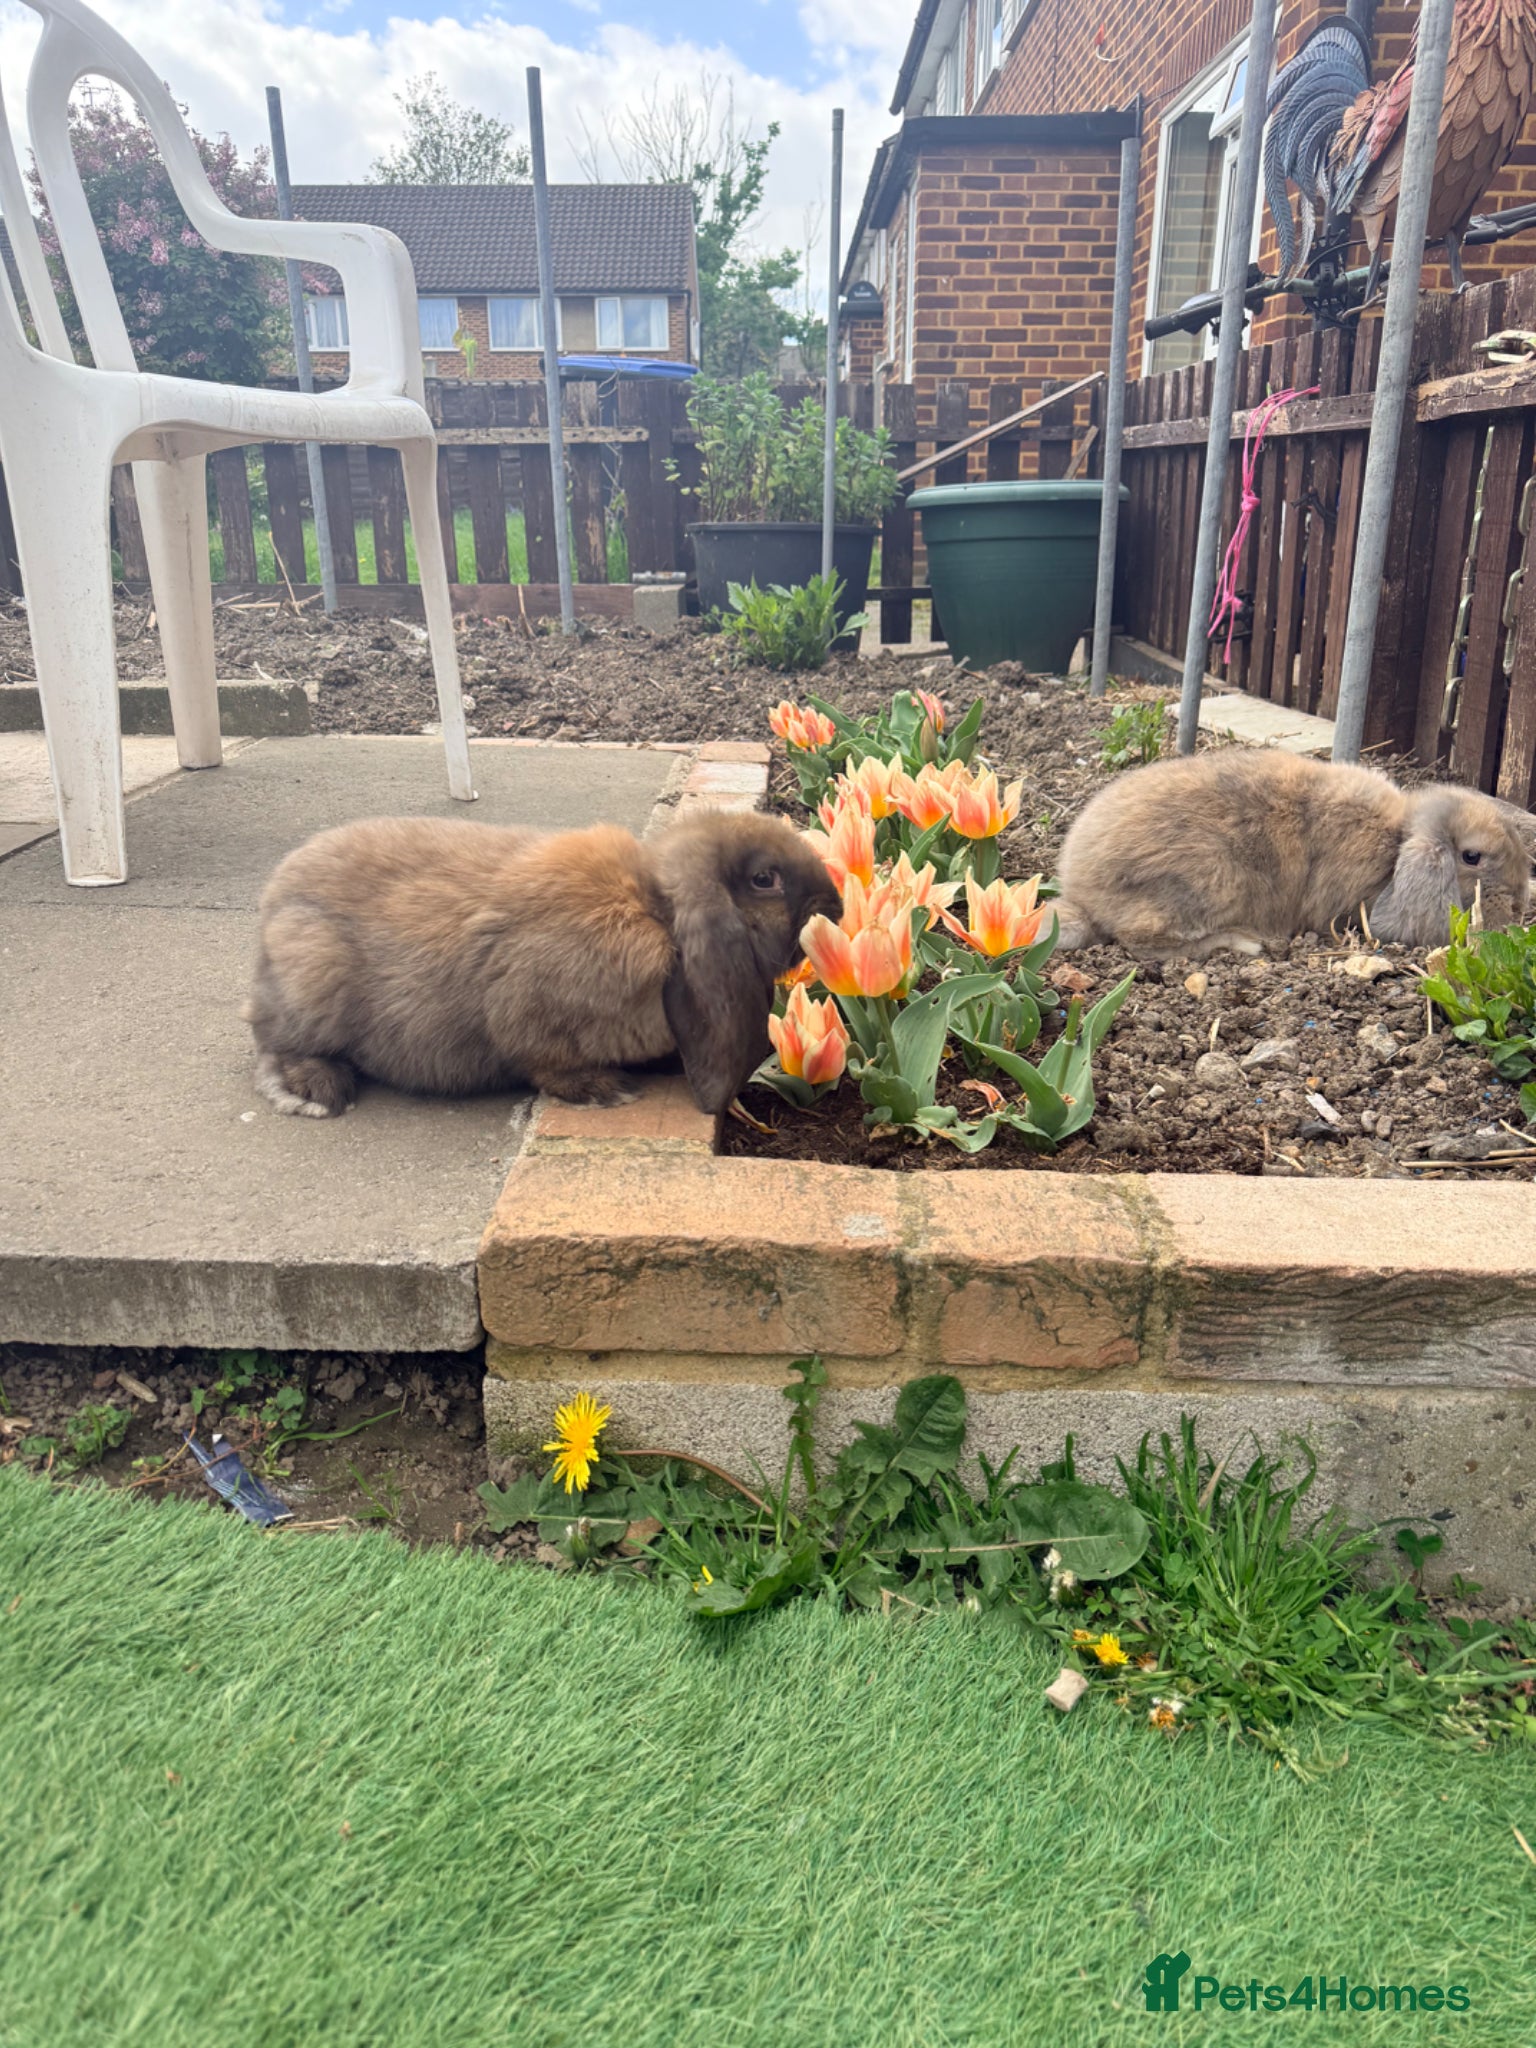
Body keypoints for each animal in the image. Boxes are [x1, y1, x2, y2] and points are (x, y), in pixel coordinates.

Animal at [247, 808, 840, 1119]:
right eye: (765, 879)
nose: (834, 905)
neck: (659, 913)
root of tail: (273, 902)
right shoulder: (528, 1012)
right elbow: (541, 1060)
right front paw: (604, 1089)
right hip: (314, 980)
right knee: (274, 1043)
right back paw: (317, 1091)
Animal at [1052, 750, 1531, 959]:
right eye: (1472, 857)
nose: (1520, 904)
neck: (1398, 843)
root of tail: (1082, 894)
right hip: (1211, 882)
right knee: (1142, 942)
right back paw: (1245, 941)